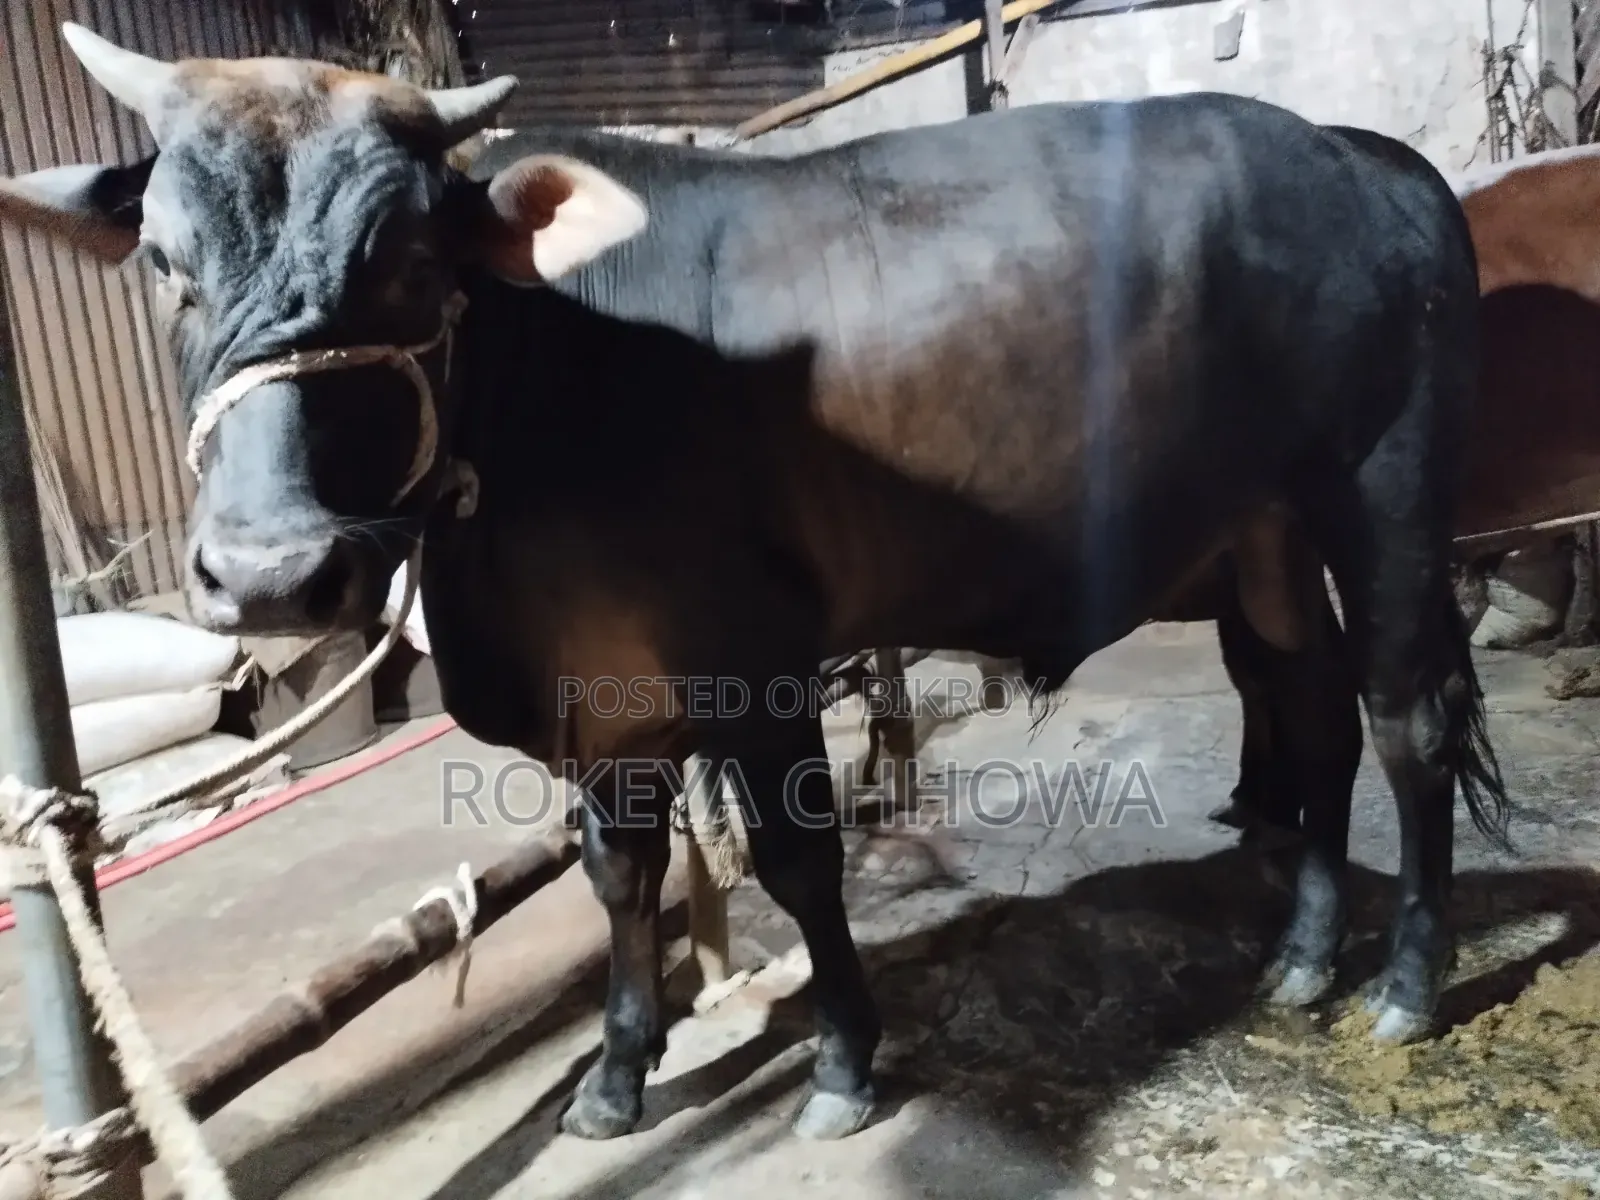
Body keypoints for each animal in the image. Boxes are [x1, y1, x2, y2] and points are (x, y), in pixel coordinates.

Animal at [0, 25, 1515, 1143]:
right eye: (165, 262)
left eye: (414, 260)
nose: (274, 571)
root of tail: (1359, 154)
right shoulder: (601, 705)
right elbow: (620, 877)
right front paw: (616, 1079)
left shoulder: (757, 661)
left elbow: (795, 857)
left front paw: (842, 1065)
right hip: (1266, 533)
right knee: (1308, 710)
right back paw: (1305, 956)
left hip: (1383, 493)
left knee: (1406, 717)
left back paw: (1406, 981)